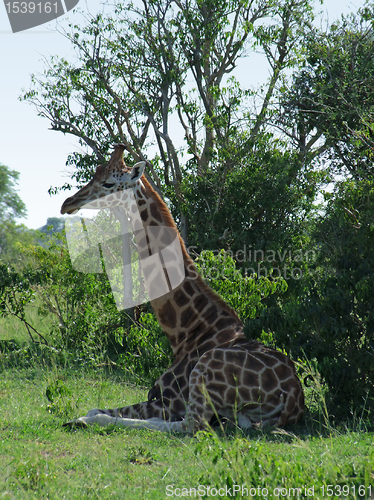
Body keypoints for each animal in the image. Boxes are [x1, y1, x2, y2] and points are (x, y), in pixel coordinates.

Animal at [59, 145, 304, 434]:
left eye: (108, 182)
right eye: (95, 173)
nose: (68, 203)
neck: (186, 332)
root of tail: (294, 399)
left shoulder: (170, 400)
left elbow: (98, 409)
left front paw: (82, 417)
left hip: (204, 373)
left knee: (191, 426)